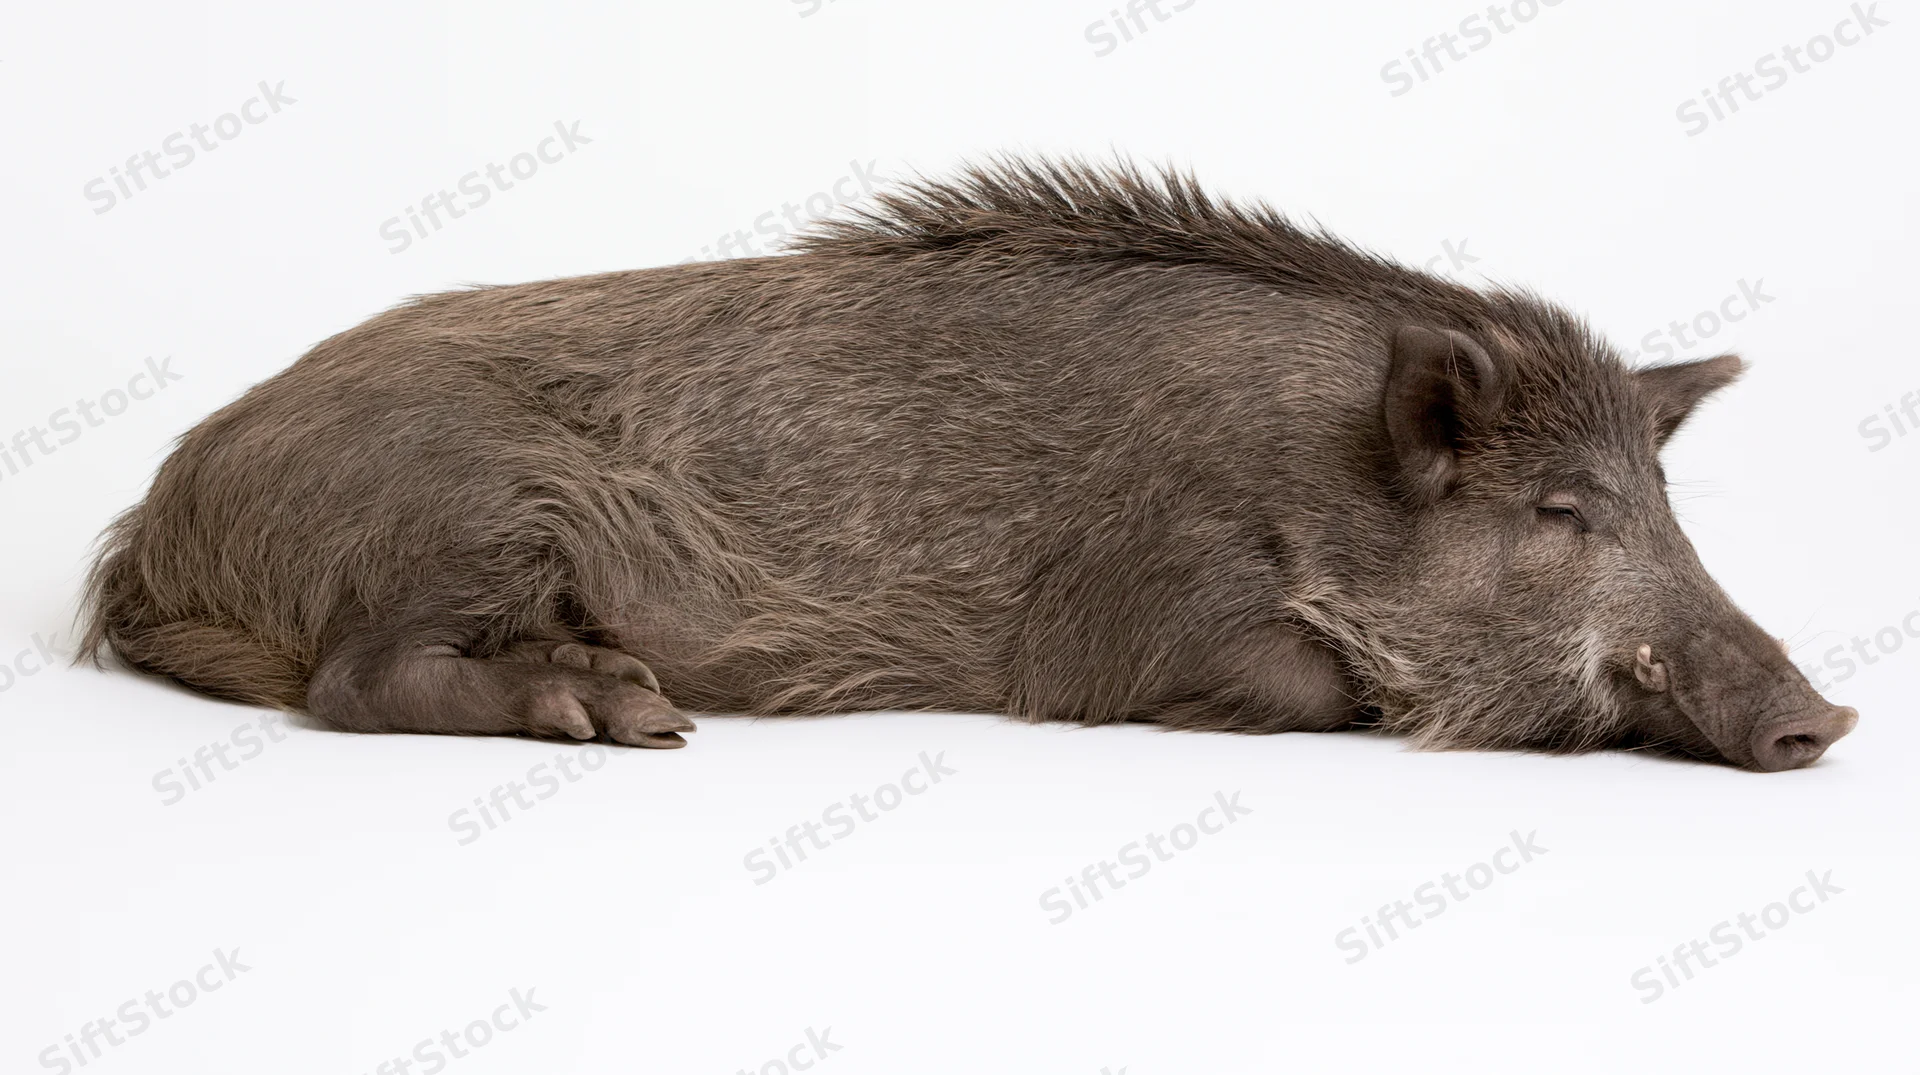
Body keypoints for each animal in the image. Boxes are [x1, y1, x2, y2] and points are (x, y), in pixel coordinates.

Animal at [79, 158, 1857, 770]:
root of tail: (155, 527)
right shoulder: (1126, 619)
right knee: (353, 675)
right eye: (1559, 509)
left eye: (1667, 501)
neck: (1315, 478)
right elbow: (1307, 683)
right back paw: (631, 711)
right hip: (465, 508)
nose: (1826, 718)